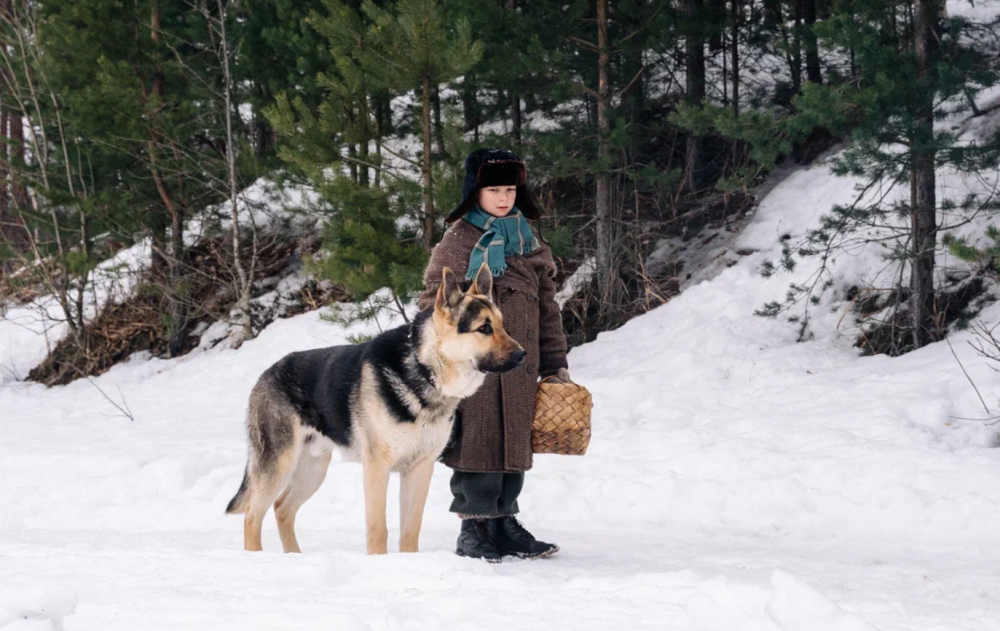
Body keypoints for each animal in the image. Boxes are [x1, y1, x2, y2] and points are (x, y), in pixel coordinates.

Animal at [227, 264, 524, 556]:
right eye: (483, 328)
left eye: (501, 325)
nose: (523, 355)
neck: (423, 370)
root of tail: (266, 374)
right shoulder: (377, 468)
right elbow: (378, 529)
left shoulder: (419, 469)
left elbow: (410, 532)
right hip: (280, 463)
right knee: (252, 515)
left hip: (313, 468)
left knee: (282, 509)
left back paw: (294, 557)